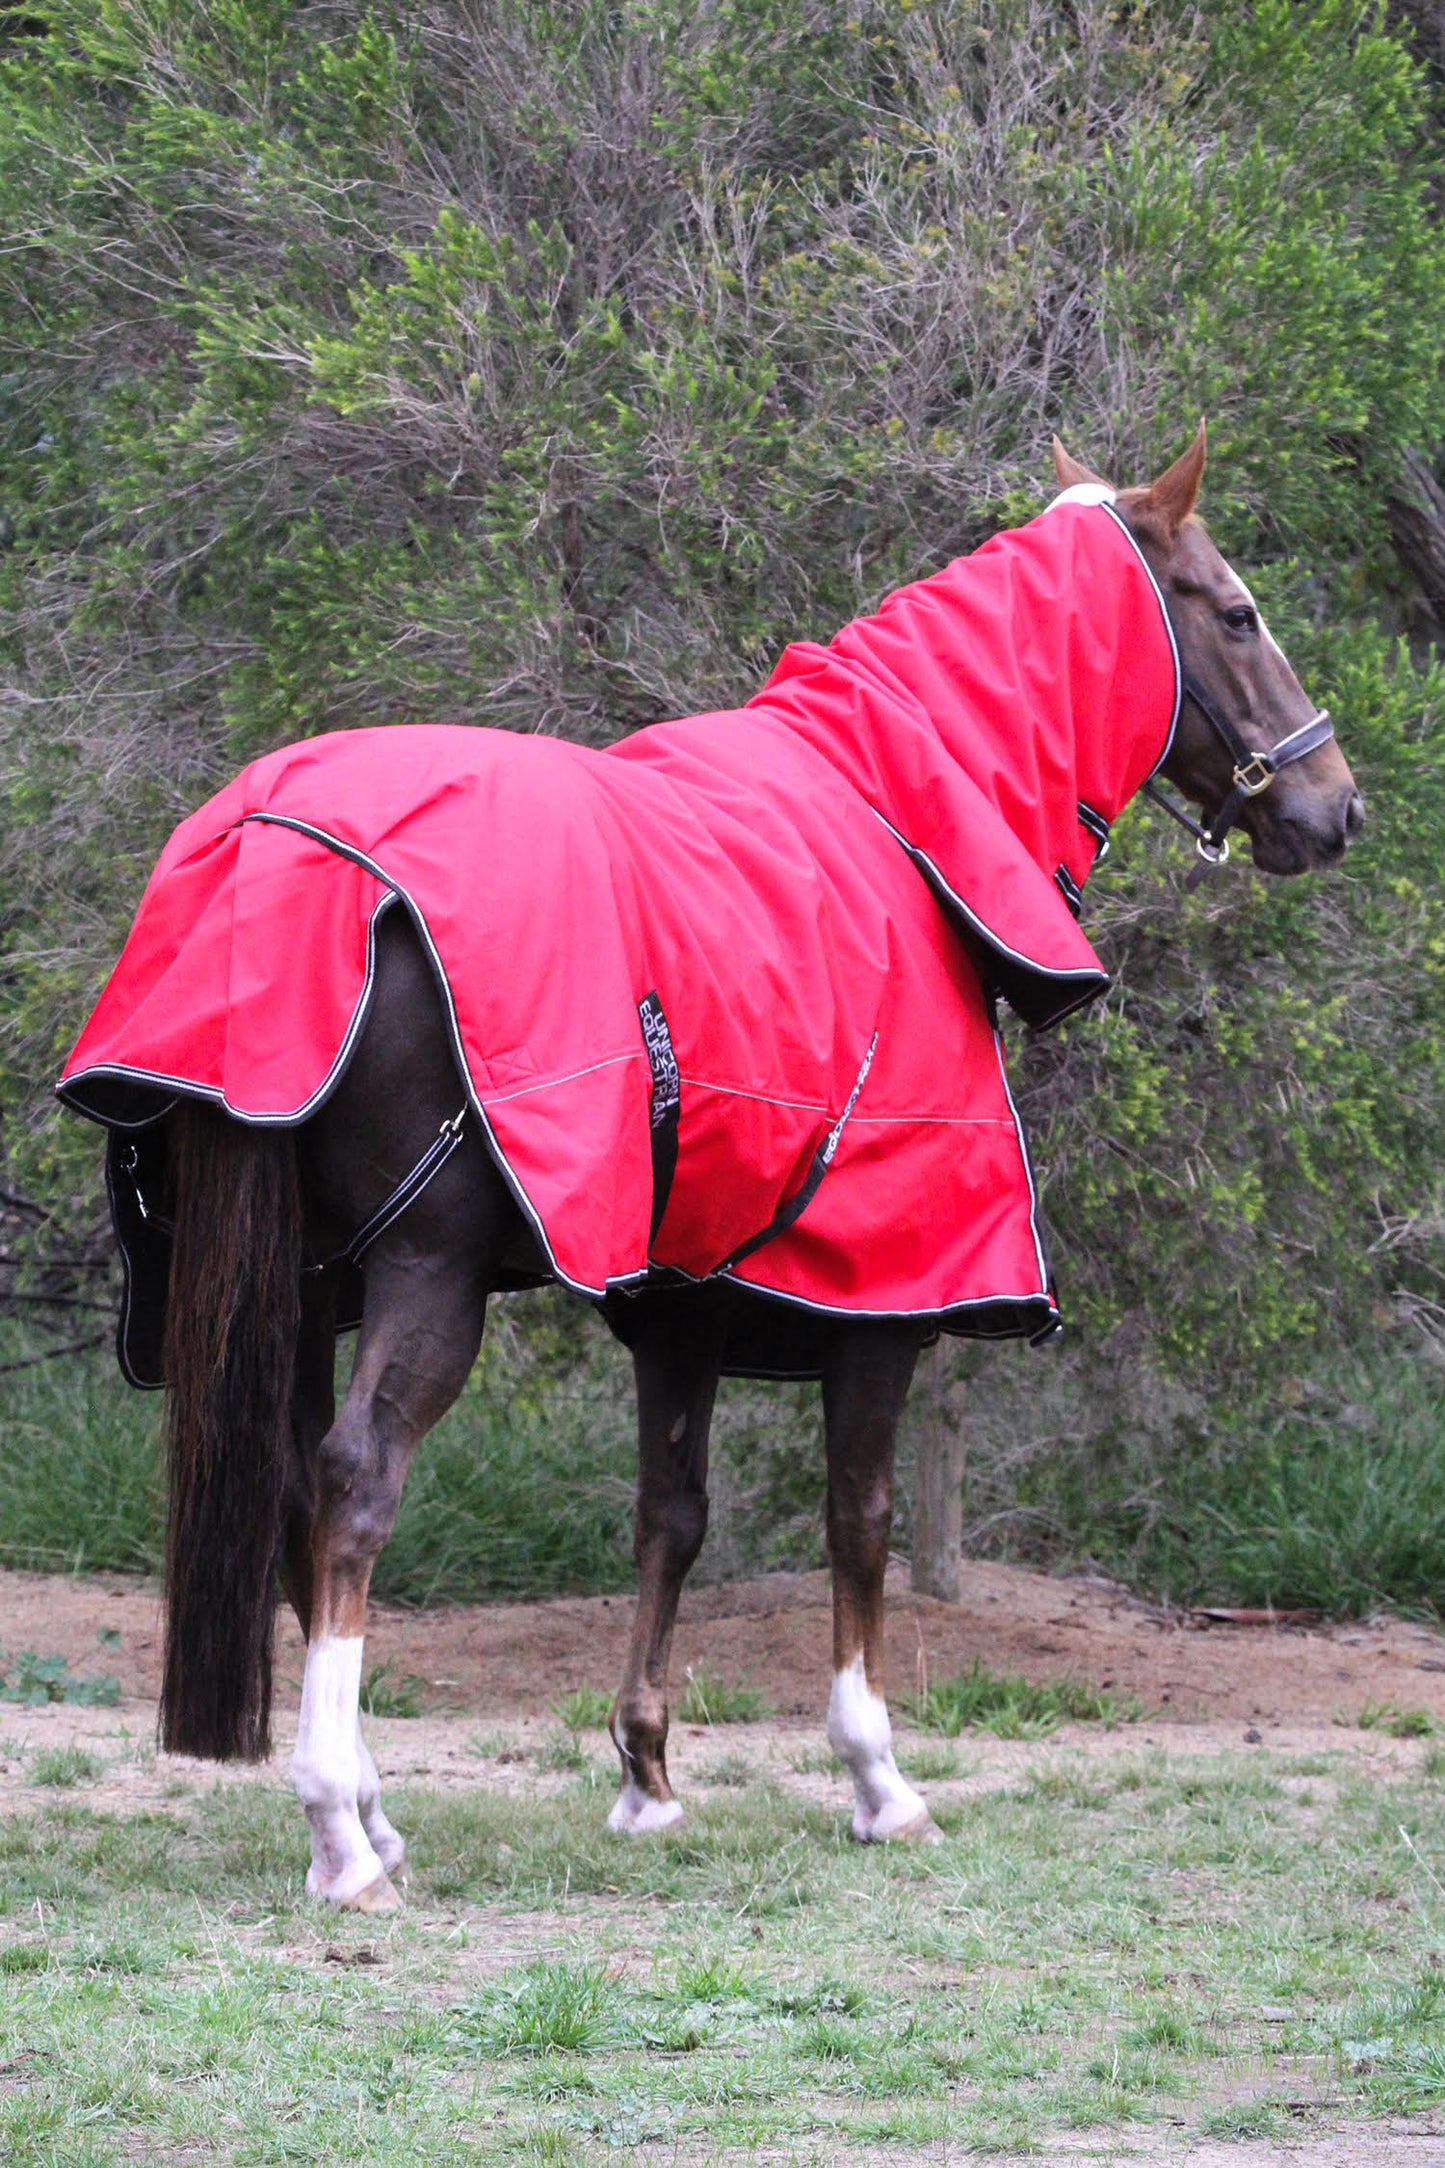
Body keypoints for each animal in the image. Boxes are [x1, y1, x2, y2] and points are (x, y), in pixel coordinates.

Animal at [61, 428, 1363, 1910]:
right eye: (1237, 613)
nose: (1336, 805)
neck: (894, 817)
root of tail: (274, 850)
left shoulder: (679, 1300)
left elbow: (669, 1516)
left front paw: (646, 1776)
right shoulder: (884, 1300)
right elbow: (856, 1518)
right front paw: (879, 1780)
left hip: (296, 1283)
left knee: (288, 1491)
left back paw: (379, 1815)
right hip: (421, 1271)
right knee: (349, 1484)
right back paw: (342, 1829)